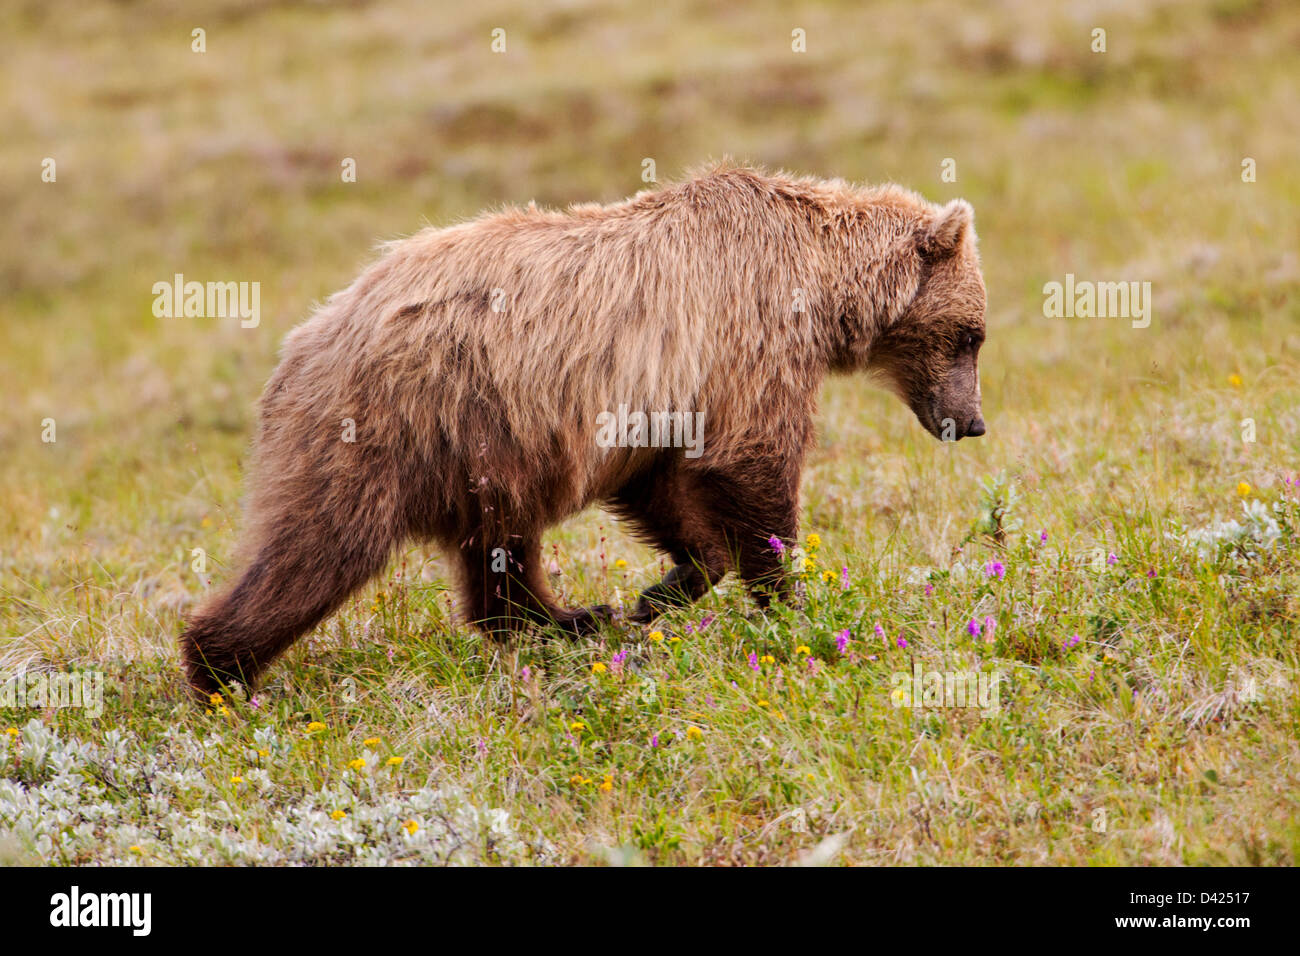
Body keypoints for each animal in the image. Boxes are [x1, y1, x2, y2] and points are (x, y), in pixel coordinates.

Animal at [180, 166, 982, 697]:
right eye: (972, 334)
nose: (971, 423)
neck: (819, 285)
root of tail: (307, 338)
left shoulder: (660, 399)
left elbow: (667, 487)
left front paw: (663, 590)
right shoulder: (748, 343)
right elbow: (751, 465)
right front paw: (791, 604)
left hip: (483, 444)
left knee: (499, 546)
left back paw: (571, 617)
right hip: (397, 424)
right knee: (323, 545)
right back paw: (222, 670)